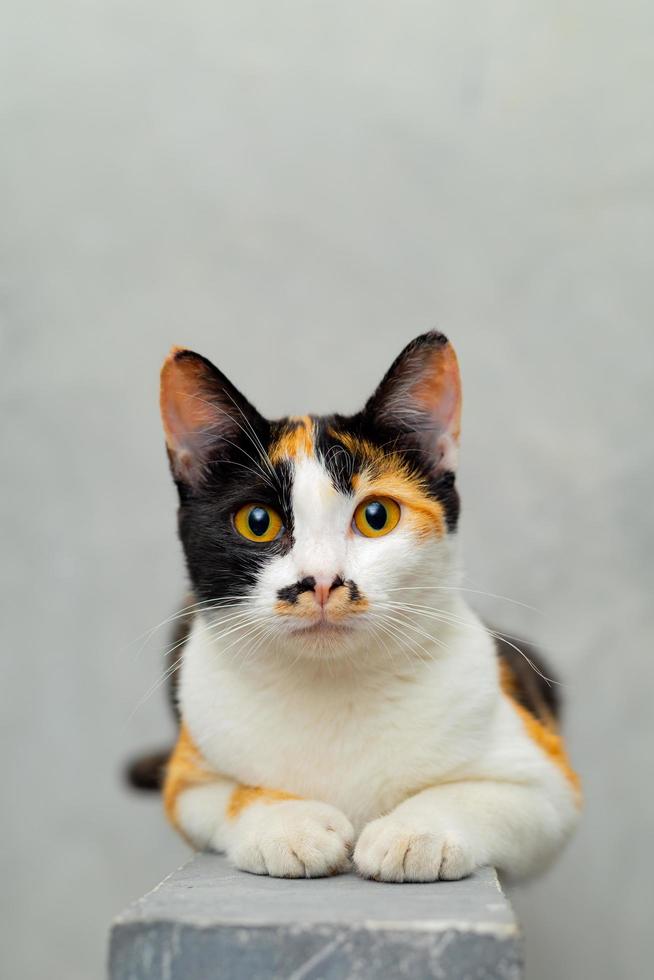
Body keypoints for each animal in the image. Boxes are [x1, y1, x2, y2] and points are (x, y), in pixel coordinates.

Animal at [132, 334, 580, 884]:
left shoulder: (547, 781)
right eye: (257, 521)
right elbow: (232, 794)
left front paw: (415, 832)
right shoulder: (189, 778)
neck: (333, 686)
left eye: (376, 515)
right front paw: (289, 826)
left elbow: (481, 795)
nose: (322, 581)